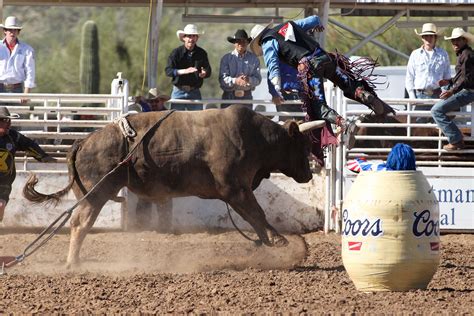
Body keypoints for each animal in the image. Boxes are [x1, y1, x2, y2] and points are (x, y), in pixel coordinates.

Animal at [24, 105, 324, 266]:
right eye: (303, 144)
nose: (309, 174)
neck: (255, 138)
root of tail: (83, 141)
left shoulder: (236, 192)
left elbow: (253, 217)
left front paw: (267, 242)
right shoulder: (236, 188)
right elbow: (257, 213)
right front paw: (278, 240)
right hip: (97, 193)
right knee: (80, 223)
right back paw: (73, 262)